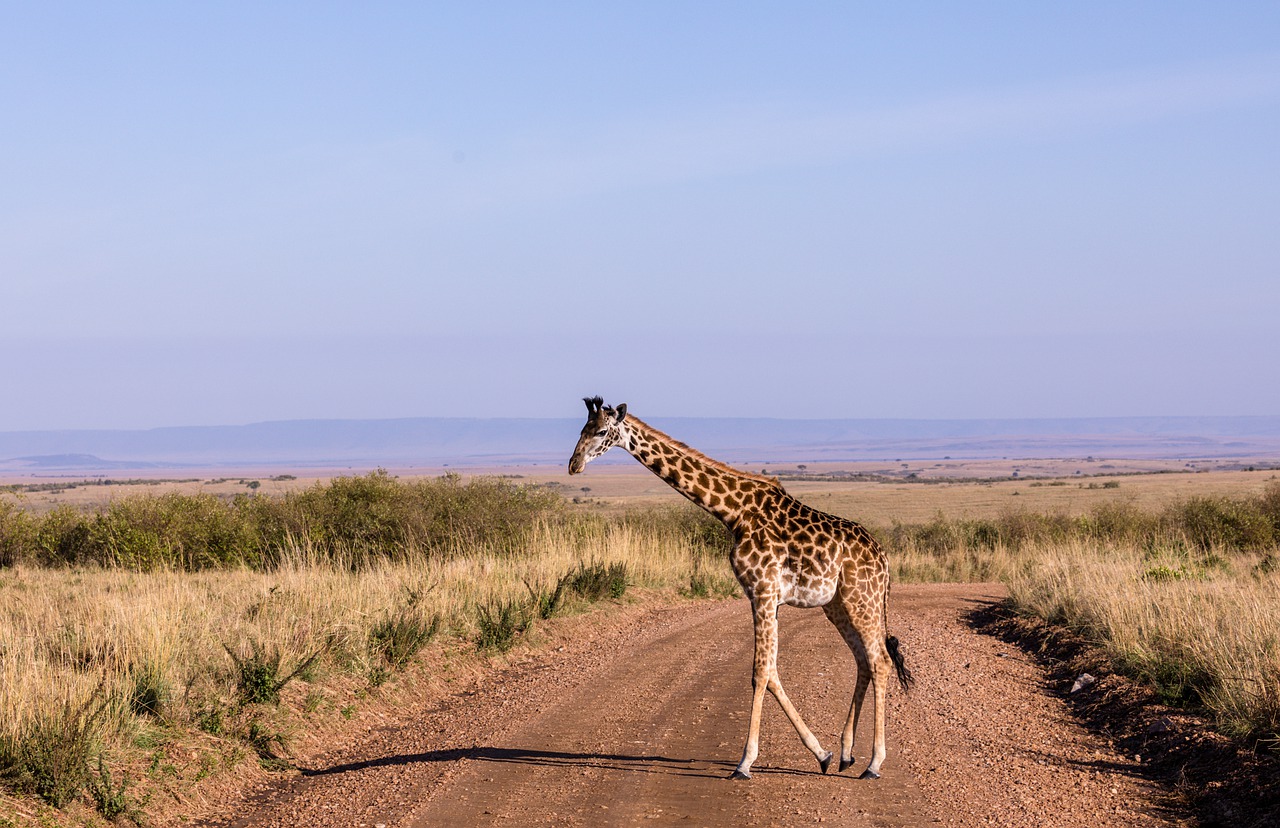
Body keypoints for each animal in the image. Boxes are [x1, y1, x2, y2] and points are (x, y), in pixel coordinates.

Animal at [568, 396, 912, 780]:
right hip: (836, 604)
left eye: (601, 431)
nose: (574, 465)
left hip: (861, 598)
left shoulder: (762, 591)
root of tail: (883, 558)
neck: (734, 512)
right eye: (581, 429)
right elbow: (772, 671)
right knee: (863, 661)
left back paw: (874, 763)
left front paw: (745, 762)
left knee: (880, 660)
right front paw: (820, 754)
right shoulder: (766, 597)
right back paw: (846, 754)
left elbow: (759, 672)